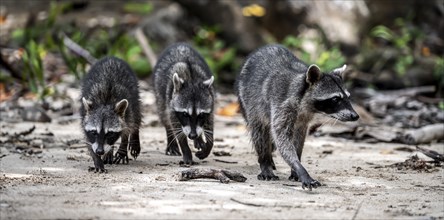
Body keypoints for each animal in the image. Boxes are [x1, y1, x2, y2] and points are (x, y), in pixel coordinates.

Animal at [238, 44, 360, 189]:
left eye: (348, 97)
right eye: (335, 99)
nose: (355, 116)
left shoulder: (304, 118)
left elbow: (299, 138)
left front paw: (296, 167)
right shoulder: (282, 105)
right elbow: (282, 138)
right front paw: (299, 167)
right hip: (249, 100)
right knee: (259, 131)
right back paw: (265, 162)